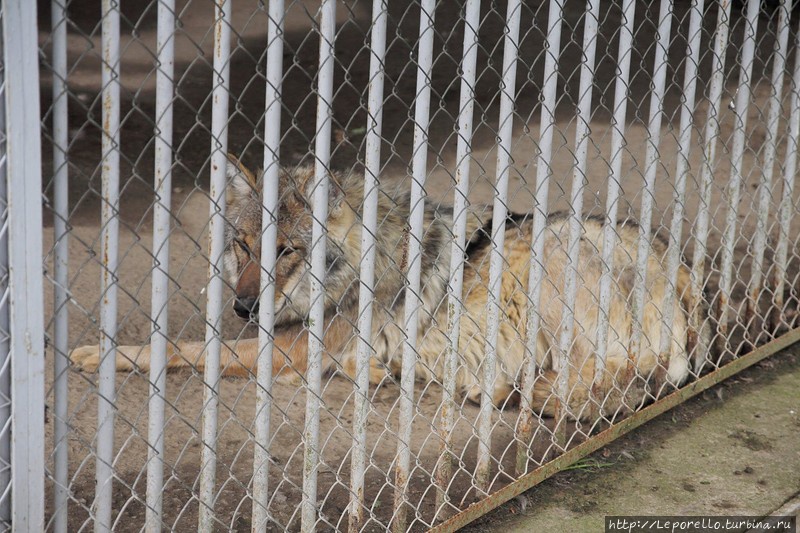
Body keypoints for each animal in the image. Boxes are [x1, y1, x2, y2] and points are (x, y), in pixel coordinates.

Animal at [72, 158, 708, 420]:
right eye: (245, 247)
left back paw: (508, 391)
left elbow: (179, 347)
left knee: (607, 374)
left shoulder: (290, 351)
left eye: (286, 251)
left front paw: (94, 353)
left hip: (545, 267)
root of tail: (684, 270)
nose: (243, 306)